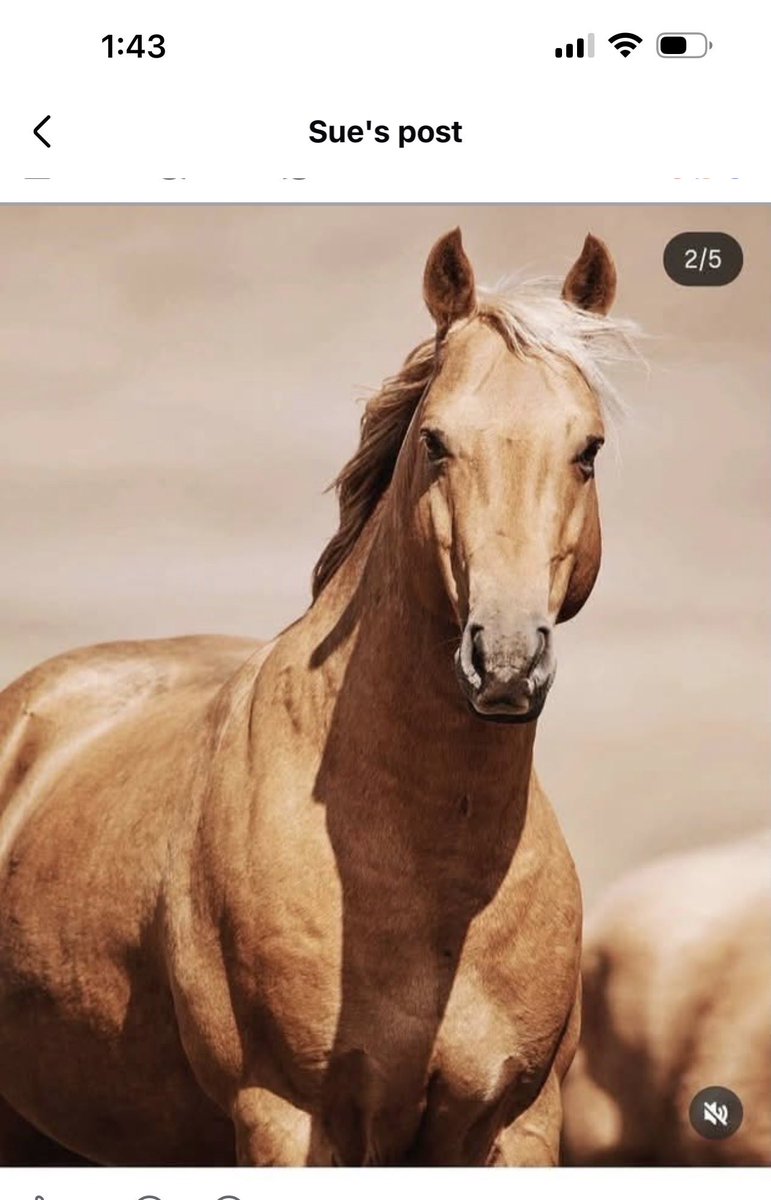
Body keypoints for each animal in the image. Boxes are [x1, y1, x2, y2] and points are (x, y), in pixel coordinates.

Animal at [0, 227, 632, 1166]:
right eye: (435, 442)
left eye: (586, 450)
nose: (507, 660)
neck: (428, 880)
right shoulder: (288, 1115)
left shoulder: (514, 1124)